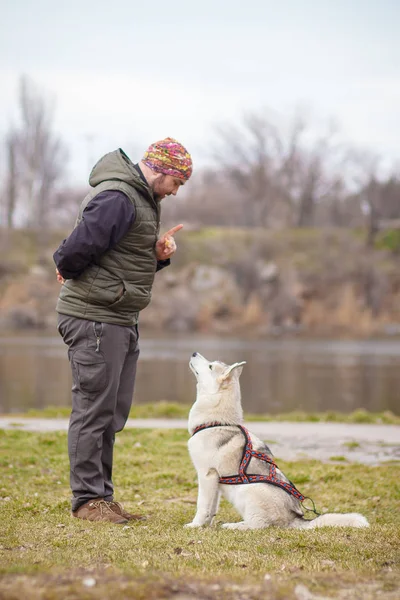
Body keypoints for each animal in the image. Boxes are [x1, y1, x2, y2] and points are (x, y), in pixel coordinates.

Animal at [186, 352, 370, 528]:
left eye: (210, 366)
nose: (194, 353)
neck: (216, 421)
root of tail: (294, 518)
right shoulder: (215, 481)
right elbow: (212, 508)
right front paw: (206, 525)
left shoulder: (207, 475)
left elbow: (202, 506)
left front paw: (195, 525)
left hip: (248, 490)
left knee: (259, 524)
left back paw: (234, 526)